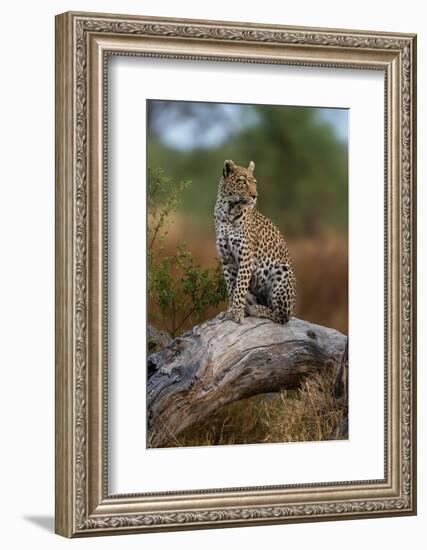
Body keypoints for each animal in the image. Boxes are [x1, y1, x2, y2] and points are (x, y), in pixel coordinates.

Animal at [214, 158, 298, 324]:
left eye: (254, 183)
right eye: (242, 182)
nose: (255, 196)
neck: (227, 211)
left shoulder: (246, 256)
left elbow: (240, 286)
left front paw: (236, 313)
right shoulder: (227, 259)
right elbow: (231, 287)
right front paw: (230, 310)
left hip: (283, 271)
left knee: (282, 316)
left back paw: (256, 310)